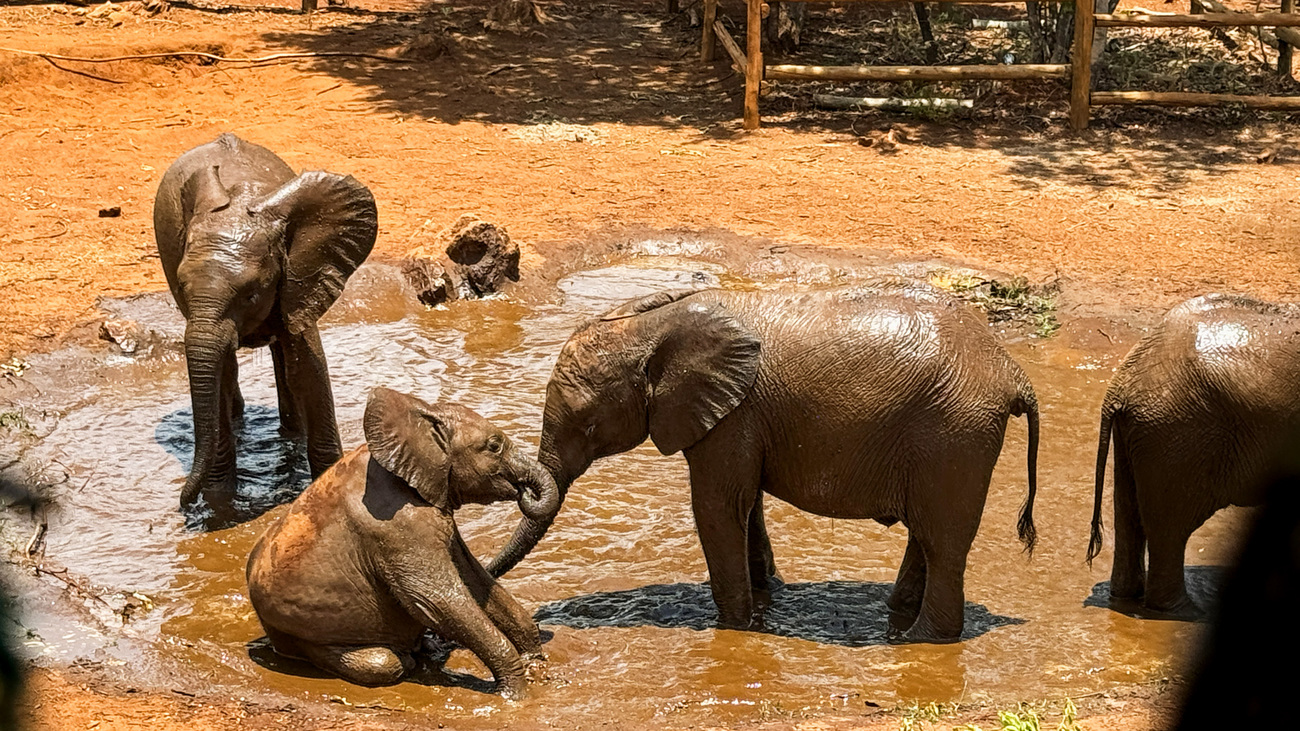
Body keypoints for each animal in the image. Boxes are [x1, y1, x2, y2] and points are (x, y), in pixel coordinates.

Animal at [152, 132, 379, 507]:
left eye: (251, 294)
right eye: (182, 288)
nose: (183, 503)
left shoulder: (299, 275)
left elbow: (309, 369)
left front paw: (327, 481)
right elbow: (220, 374)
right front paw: (220, 504)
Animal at [245, 385, 561, 697]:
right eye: (494, 446)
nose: (524, 491)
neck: (420, 423)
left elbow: (473, 580)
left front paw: (536, 664)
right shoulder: (398, 522)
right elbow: (436, 599)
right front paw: (515, 695)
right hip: (298, 631)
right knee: (383, 663)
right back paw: (405, 658)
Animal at [483, 282, 1040, 639]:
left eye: (588, 426)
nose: (488, 573)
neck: (656, 322)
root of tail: (1012, 371)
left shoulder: (732, 415)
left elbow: (717, 507)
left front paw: (732, 628)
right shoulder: (737, 418)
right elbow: (744, 506)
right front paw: (762, 605)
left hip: (954, 433)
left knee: (943, 542)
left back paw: (918, 640)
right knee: (927, 537)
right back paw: (898, 617)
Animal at [1086, 292, 1300, 616]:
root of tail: (1121, 381)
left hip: (1142, 434)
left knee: (1130, 518)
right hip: (1178, 432)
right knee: (1170, 529)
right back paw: (1188, 613)